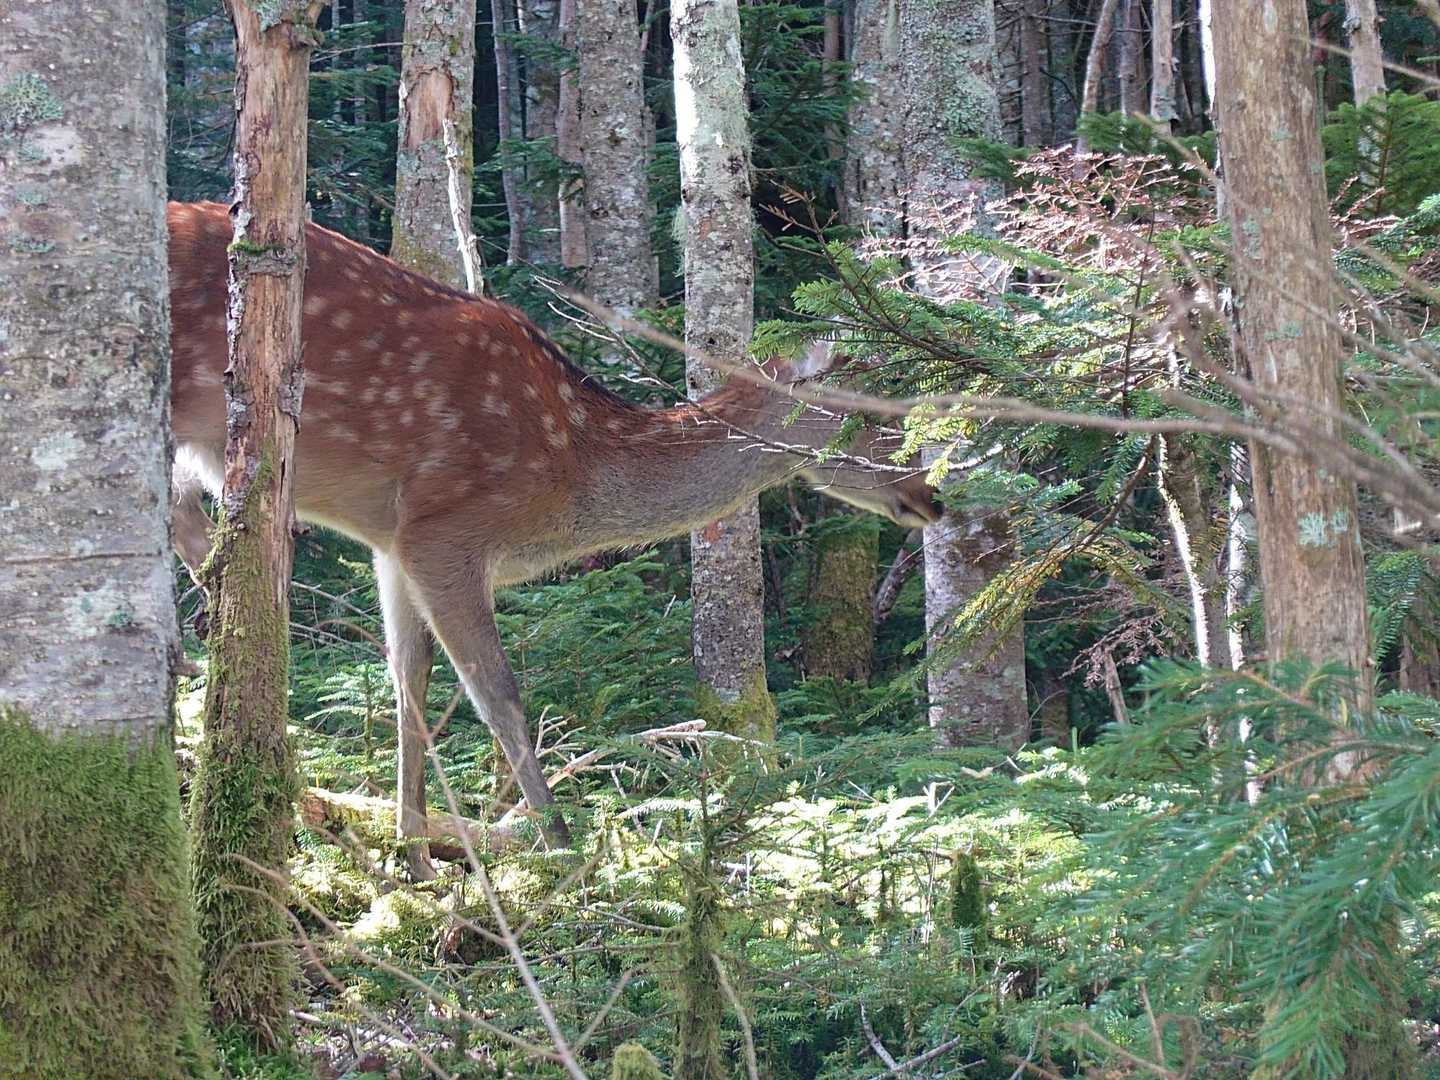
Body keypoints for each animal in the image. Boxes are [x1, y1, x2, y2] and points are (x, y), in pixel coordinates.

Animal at [167, 201, 940, 871]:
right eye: (873, 413)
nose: (931, 496)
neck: (574, 474)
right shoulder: (444, 528)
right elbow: (497, 692)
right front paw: (562, 850)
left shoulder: (392, 542)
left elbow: (408, 683)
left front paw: (412, 858)